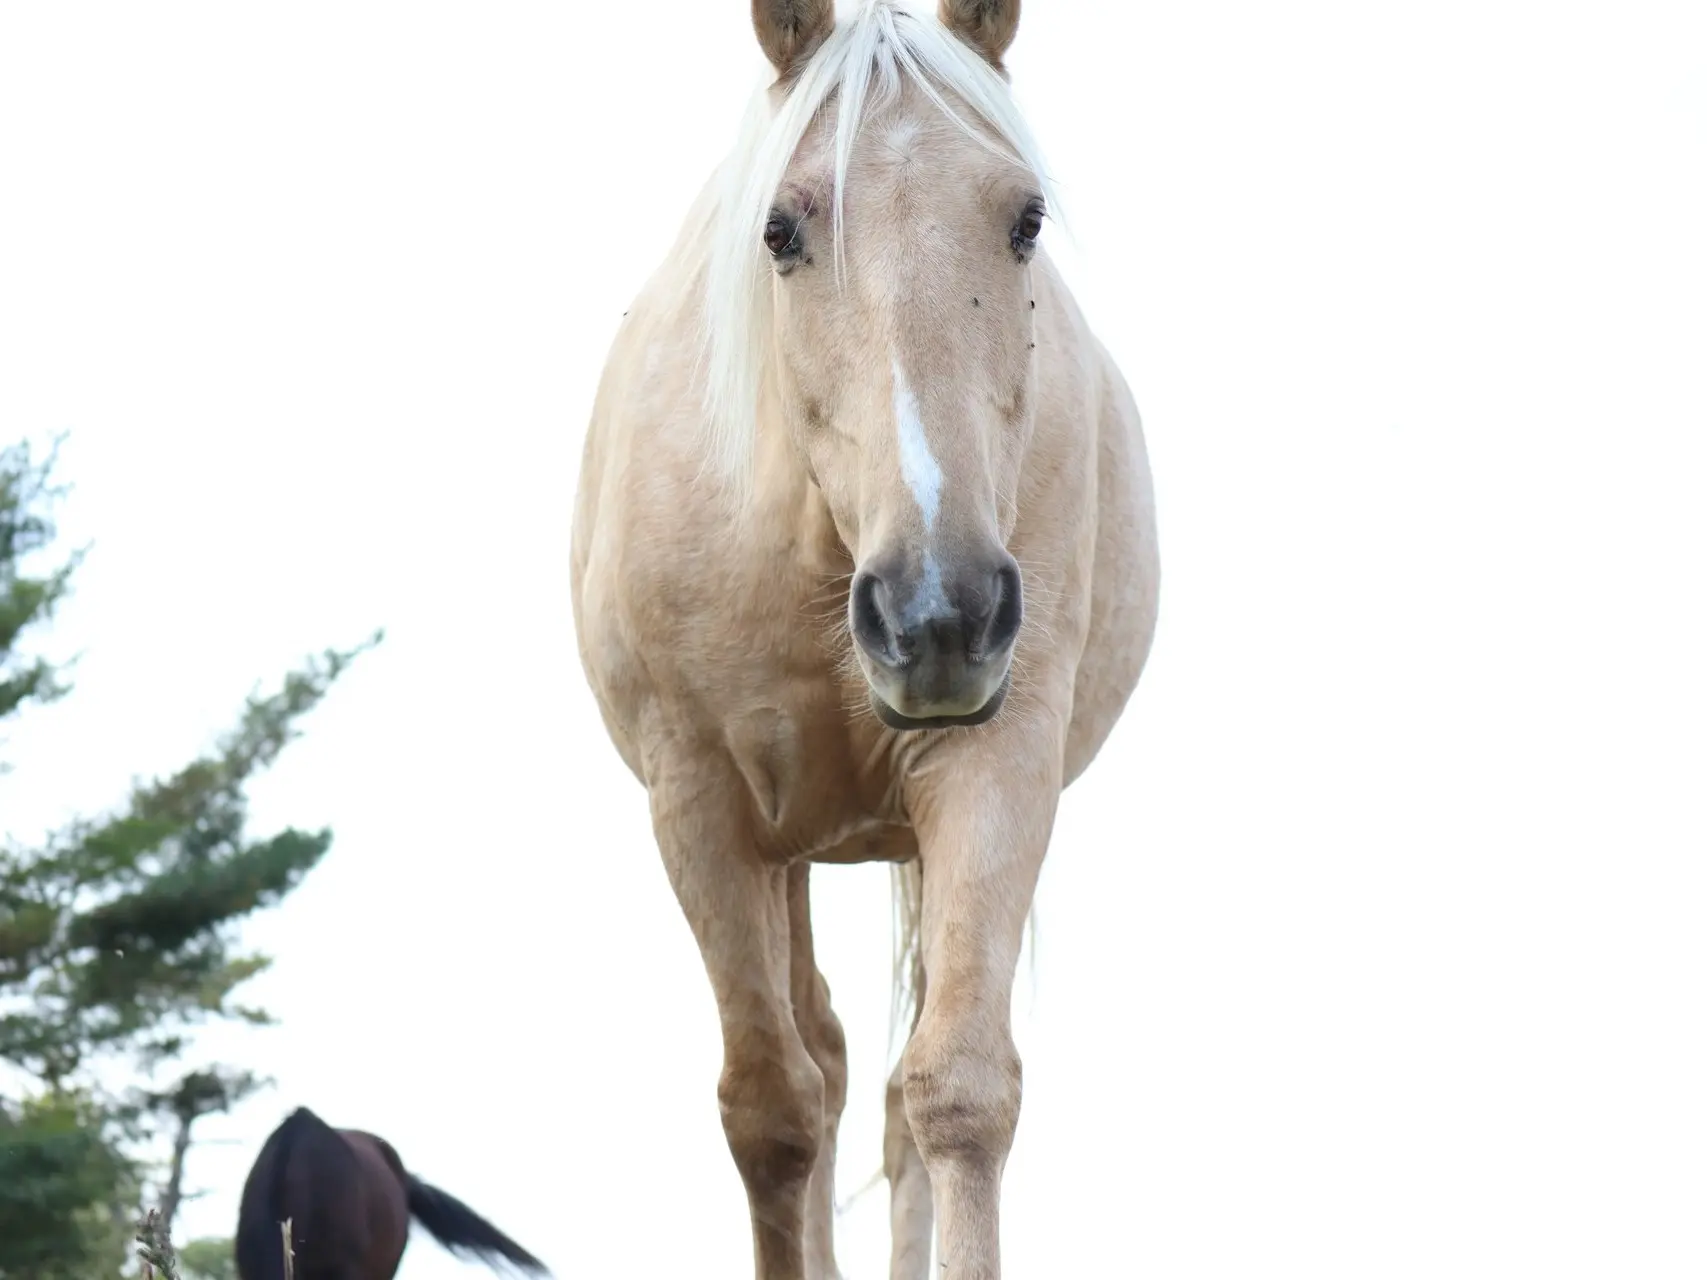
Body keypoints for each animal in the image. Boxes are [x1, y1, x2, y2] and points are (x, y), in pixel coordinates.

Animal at [573, 2, 1160, 1280]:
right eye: (780, 230)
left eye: (1026, 217)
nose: (940, 612)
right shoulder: (700, 805)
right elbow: (773, 1109)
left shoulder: (998, 766)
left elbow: (955, 1091)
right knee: (824, 1063)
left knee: (890, 1089)